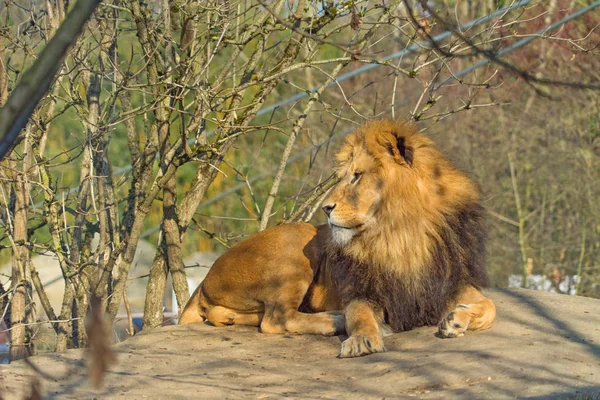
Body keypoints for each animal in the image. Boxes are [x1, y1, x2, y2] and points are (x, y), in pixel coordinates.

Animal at [179, 120, 496, 358]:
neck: (401, 232)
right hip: (298, 239)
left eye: (356, 176)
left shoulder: (442, 282)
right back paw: (335, 319)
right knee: (276, 319)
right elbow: (359, 315)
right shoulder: (364, 289)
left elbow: (491, 306)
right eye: (344, 176)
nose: (326, 207)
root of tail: (204, 281)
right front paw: (362, 339)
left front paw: (457, 319)